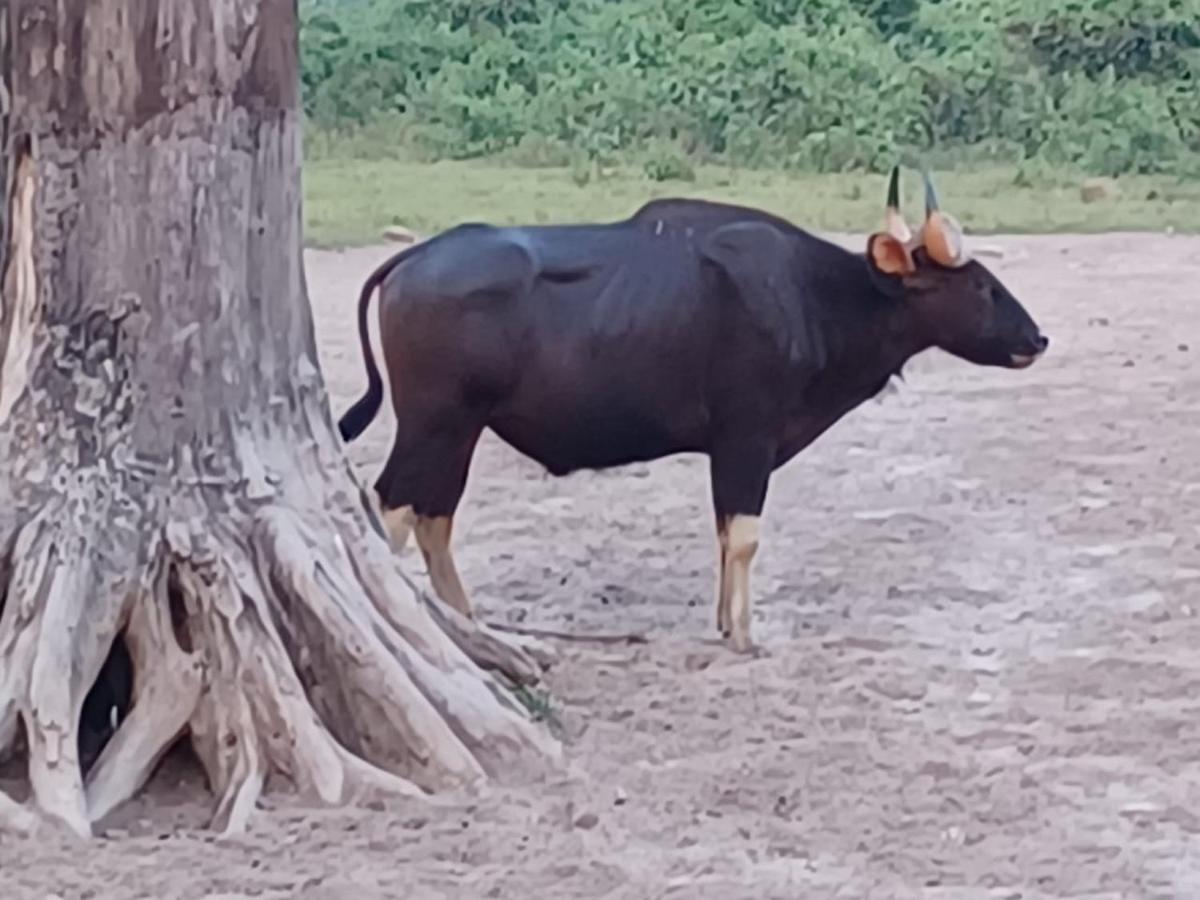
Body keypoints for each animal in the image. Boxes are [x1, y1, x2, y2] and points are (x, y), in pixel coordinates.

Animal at [336, 169, 1041, 652]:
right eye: (980, 285)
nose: (1036, 339)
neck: (811, 295)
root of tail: (416, 257)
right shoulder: (747, 438)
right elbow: (746, 534)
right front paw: (745, 635)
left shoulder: (730, 449)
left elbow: (726, 531)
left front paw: (725, 623)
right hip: (434, 421)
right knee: (394, 505)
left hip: (461, 429)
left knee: (433, 515)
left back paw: (466, 621)